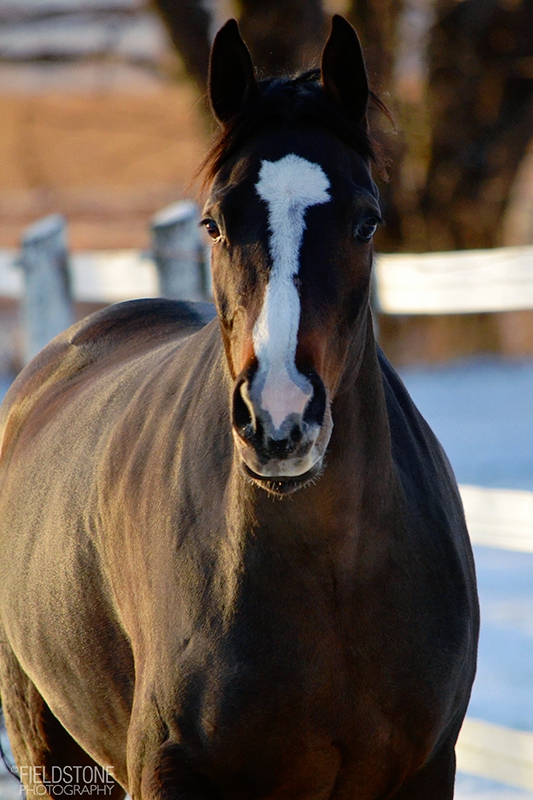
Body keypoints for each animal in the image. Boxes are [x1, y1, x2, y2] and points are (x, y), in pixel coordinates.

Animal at [0, 14, 478, 800]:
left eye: (366, 222)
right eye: (214, 223)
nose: (279, 421)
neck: (331, 583)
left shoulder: (425, 771)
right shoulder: (169, 771)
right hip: (49, 745)